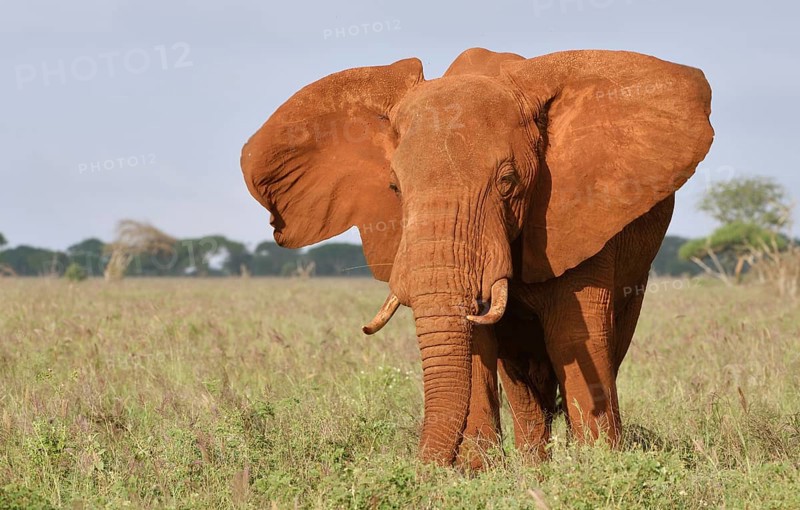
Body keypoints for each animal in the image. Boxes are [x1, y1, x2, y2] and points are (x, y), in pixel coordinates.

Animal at [241, 48, 714, 468]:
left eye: (508, 182)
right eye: (394, 188)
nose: (423, 471)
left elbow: (572, 339)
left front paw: (598, 467)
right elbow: (476, 345)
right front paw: (476, 474)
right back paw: (533, 468)